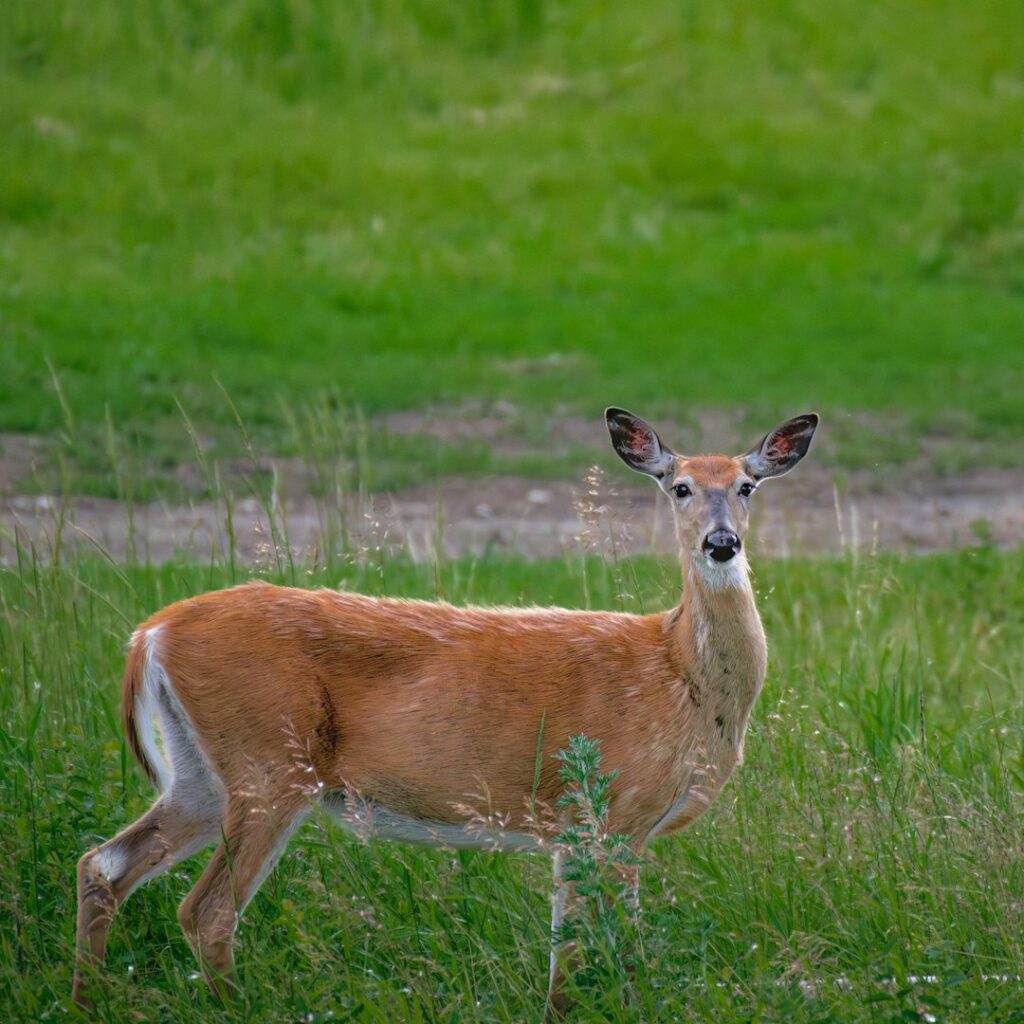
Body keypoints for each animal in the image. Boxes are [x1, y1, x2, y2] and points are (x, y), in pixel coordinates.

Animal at [72, 408, 818, 1018]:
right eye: (679, 486)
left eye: (747, 486)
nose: (721, 544)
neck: (676, 673)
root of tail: (151, 632)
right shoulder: (606, 812)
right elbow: (597, 954)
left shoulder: (593, 828)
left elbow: (581, 951)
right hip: (267, 761)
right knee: (207, 911)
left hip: (202, 772)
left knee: (103, 864)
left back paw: (88, 999)